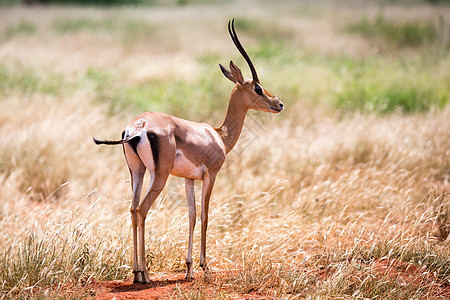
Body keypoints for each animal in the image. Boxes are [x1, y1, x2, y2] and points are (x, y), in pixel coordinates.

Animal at [93, 19, 284, 284]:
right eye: (257, 88)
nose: (279, 104)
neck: (219, 135)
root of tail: (138, 126)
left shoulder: (188, 180)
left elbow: (191, 216)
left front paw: (189, 269)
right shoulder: (210, 175)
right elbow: (205, 215)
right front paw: (205, 267)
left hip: (137, 173)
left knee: (132, 208)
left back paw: (135, 272)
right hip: (159, 176)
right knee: (142, 209)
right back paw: (145, 274)